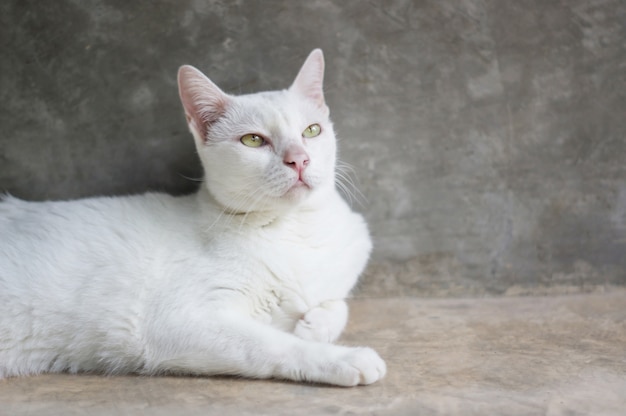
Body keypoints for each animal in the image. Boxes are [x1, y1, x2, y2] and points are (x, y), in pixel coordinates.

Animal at [0, 50, 382, 386]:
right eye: (253, 140)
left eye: (312, 131)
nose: (299, 159)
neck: (295, 230)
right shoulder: (179, 324)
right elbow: (277, 345)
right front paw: (344, 357)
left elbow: (337, 305)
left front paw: (316, 324)